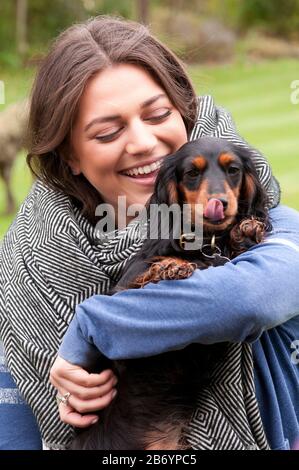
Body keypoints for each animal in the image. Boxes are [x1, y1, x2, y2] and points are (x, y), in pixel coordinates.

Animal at [72, 137, 272, 452]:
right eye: (192, 173)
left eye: (233, 170)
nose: (220, 203)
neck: (206, 242)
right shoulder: (122, 290)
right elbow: (145, 275)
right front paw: (169, 265)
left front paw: (247, 229)